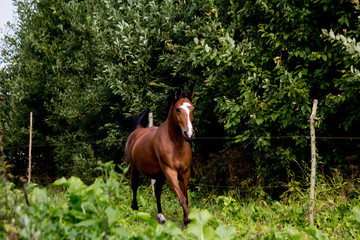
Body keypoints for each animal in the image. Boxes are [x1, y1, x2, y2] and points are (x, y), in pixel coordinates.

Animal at [125, 89, 195, 225]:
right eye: (178, 109)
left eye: (192, 108)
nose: (189, 134)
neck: (175, 144)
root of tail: (137, 130)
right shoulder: (170, 171)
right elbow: (182, 198)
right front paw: (187, 220)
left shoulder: (185, 172)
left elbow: (186, 197)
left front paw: (186, 219)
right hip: (133, 169)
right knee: (134, 186)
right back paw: (135, 209)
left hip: (160, 175)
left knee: (157, 191)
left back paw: (161, 216)